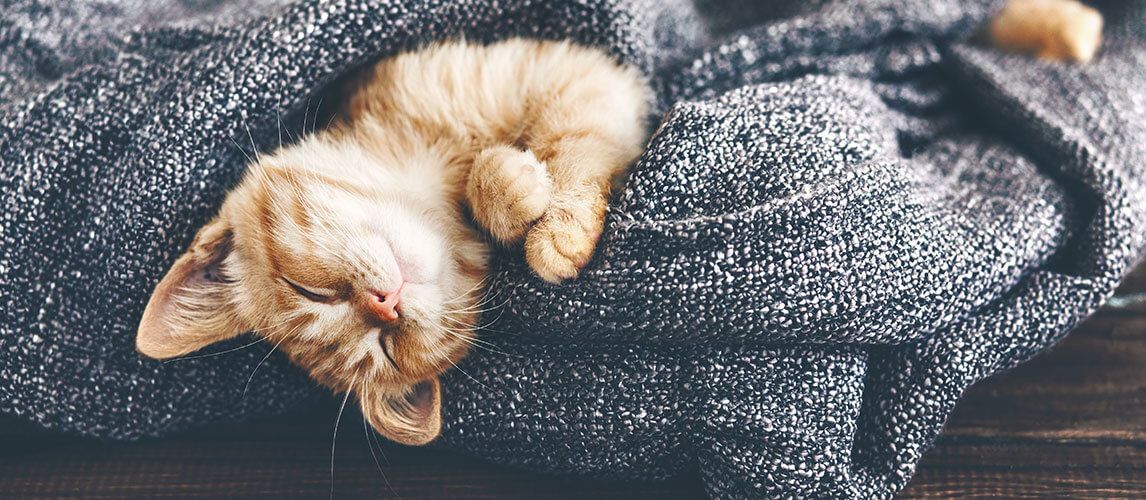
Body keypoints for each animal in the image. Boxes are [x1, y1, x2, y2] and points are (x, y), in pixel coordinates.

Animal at [134, 0, 1100, 444]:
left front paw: (545, 215)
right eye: (386, 352)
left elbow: (551, 148)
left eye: (314, 290)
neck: (423, 150)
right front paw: (520, 200)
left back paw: (1063, 28)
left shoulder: (584, 72)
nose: (386, 304)